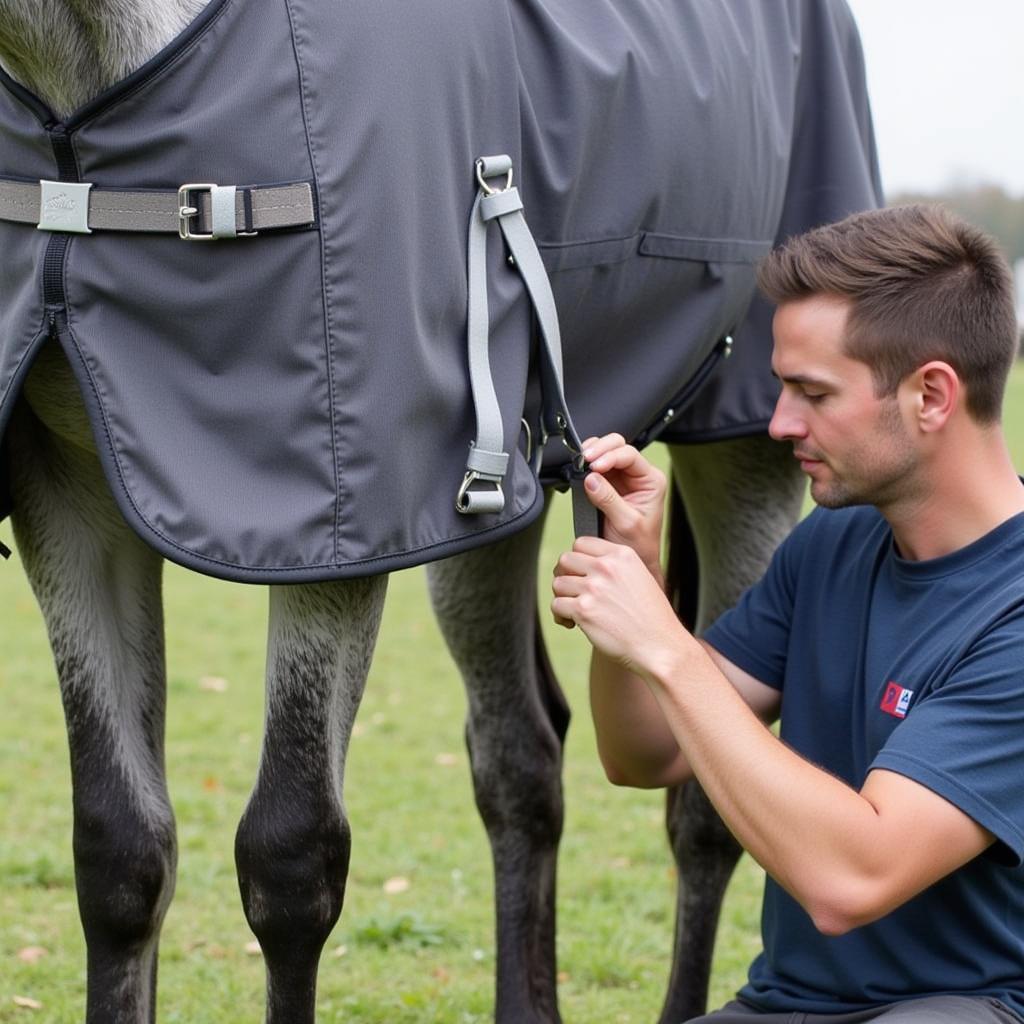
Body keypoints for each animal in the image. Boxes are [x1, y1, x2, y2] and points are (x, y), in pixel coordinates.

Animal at [0, 2, 880, 1024]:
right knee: (521, 764)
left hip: (749, 453)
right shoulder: (72, 494)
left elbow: (291, 857)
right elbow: (120, 851)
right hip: (488, 512)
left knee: (706, 796)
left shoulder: (338, 540)